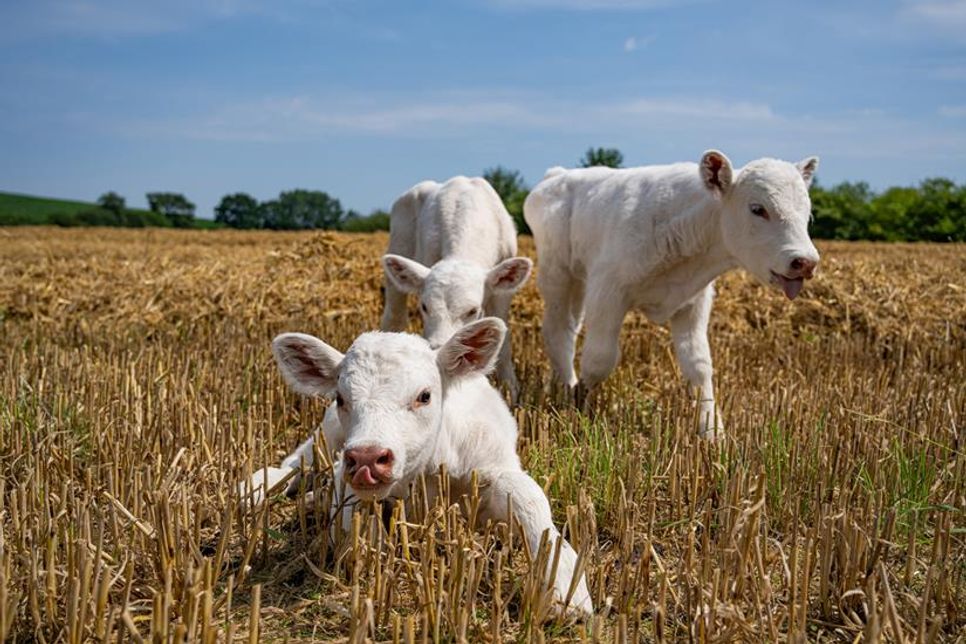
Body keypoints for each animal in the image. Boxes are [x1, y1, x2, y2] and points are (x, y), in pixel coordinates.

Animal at [239, 320, 592, 616]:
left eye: (424, 396)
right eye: (340, 398)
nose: (367, 458)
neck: (426, 474)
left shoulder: (494, 467)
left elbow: (528, 499)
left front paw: (565, 589)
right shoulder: (345, 472)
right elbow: (352, 521)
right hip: (328, 435)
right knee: (299, 459)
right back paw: (257, 486)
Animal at [382, 176, 532, 402]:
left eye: (472, 311)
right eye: (424, 307)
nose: (439, 346)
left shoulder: (502, 294)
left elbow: (504, 342)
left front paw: (511, 391)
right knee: (394, 317)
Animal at [524, 148, 820, 436]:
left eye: (807, 212)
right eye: (758, 209)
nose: (805, 262)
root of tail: (558, 174)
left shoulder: (693, 304)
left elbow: (699, 366)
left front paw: (712, 431)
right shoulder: (607, 291)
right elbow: (600, 358)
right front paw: (580, 403)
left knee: (569, 329)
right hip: (557, 275)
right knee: (558, 331)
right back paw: (566, 385)